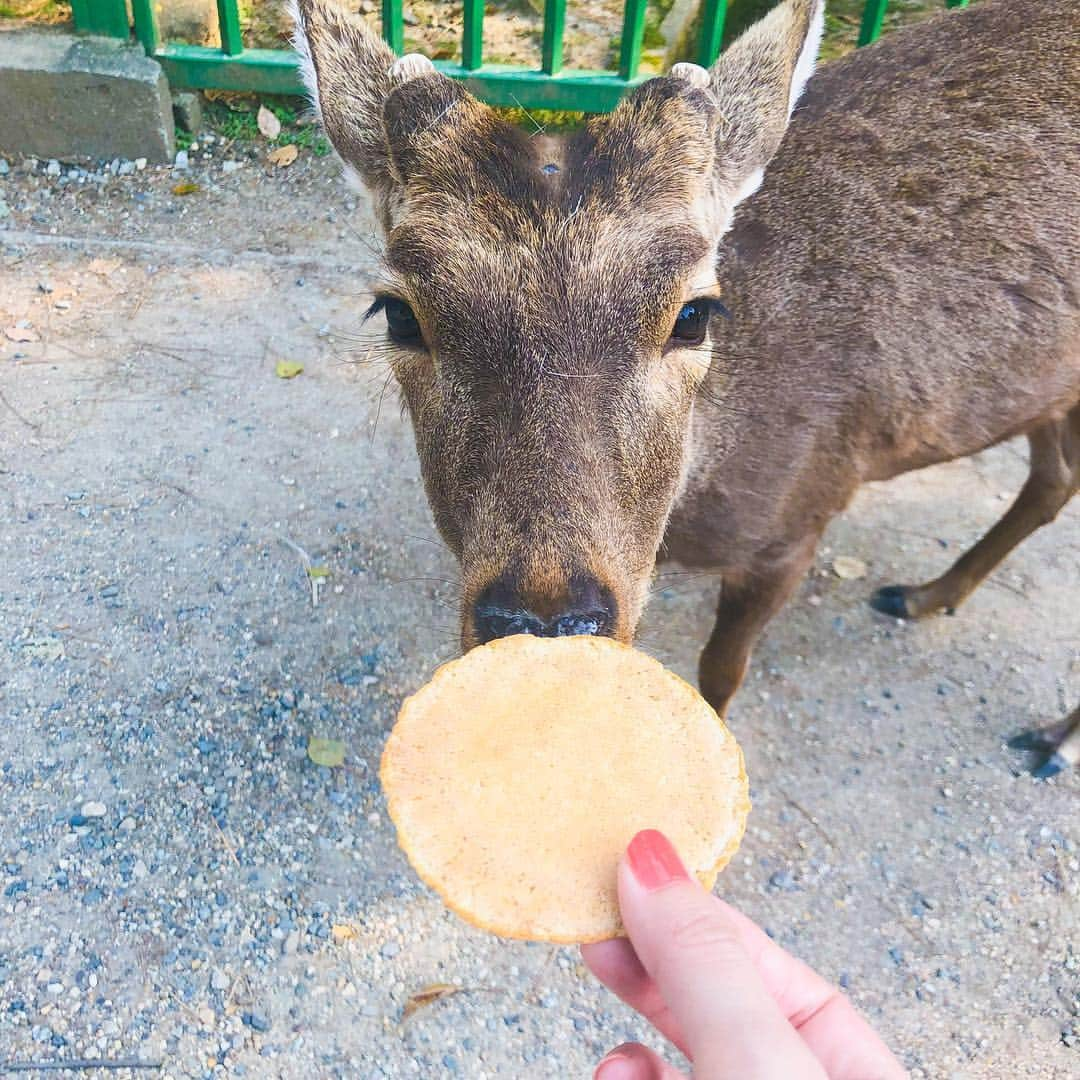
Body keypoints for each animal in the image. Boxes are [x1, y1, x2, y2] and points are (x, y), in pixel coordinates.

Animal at [289, 0, 1080, 777]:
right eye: (399, 312)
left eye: (694, 314)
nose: (545, 624)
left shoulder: (803, 515)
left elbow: (719, 671)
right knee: (1054, 478)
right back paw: (923, 597)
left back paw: (1046, 739)